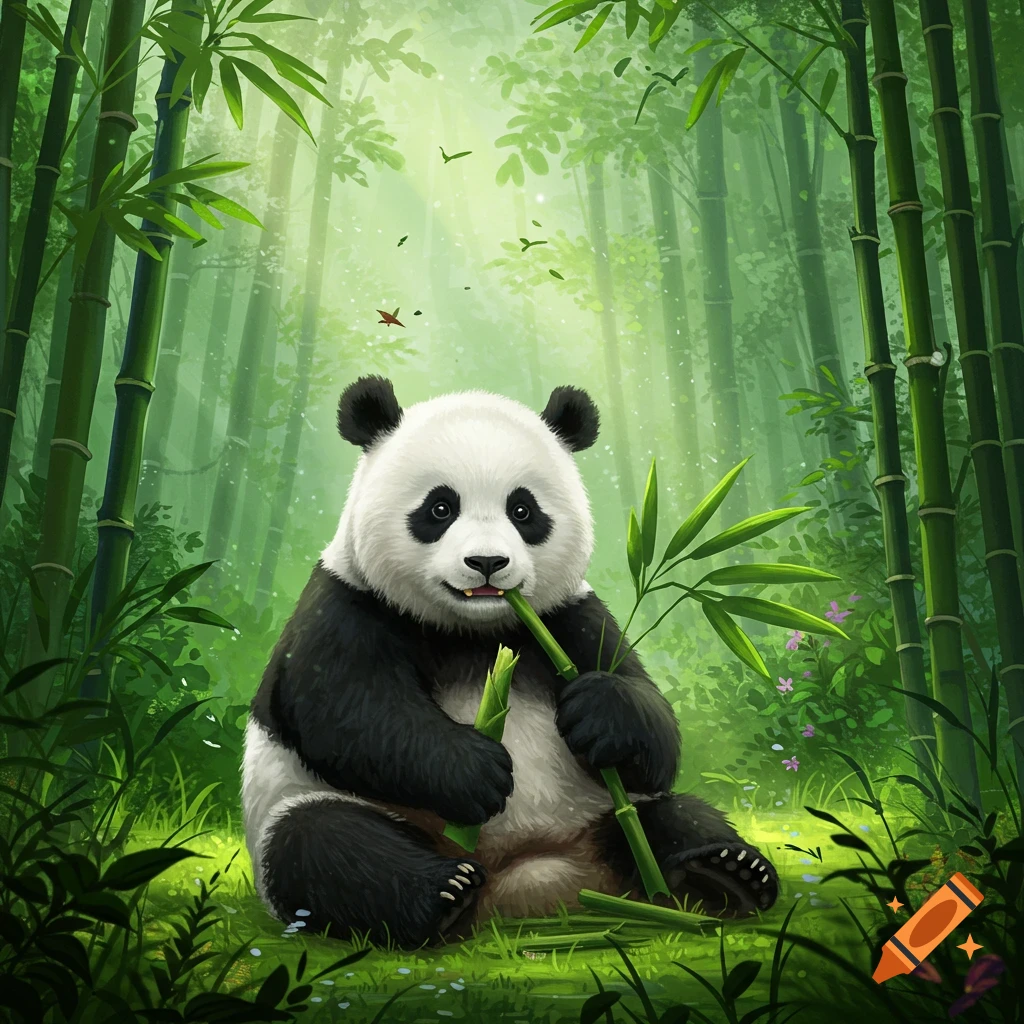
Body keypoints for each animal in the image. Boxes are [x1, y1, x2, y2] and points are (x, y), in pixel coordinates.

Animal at [242, 376, 779, 948]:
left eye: (523, 511)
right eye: (440, 508)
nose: (486, 562)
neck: (474, 630)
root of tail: (529, 885)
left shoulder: (569, 617)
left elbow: (650, 719)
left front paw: (600, 712)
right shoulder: (347, 603)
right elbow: (347, 711)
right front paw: (476, 772)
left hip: (601, 813)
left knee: (670, 815)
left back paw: (725, 874)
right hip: (306, 809)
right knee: (326, 847)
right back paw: (444, 895)